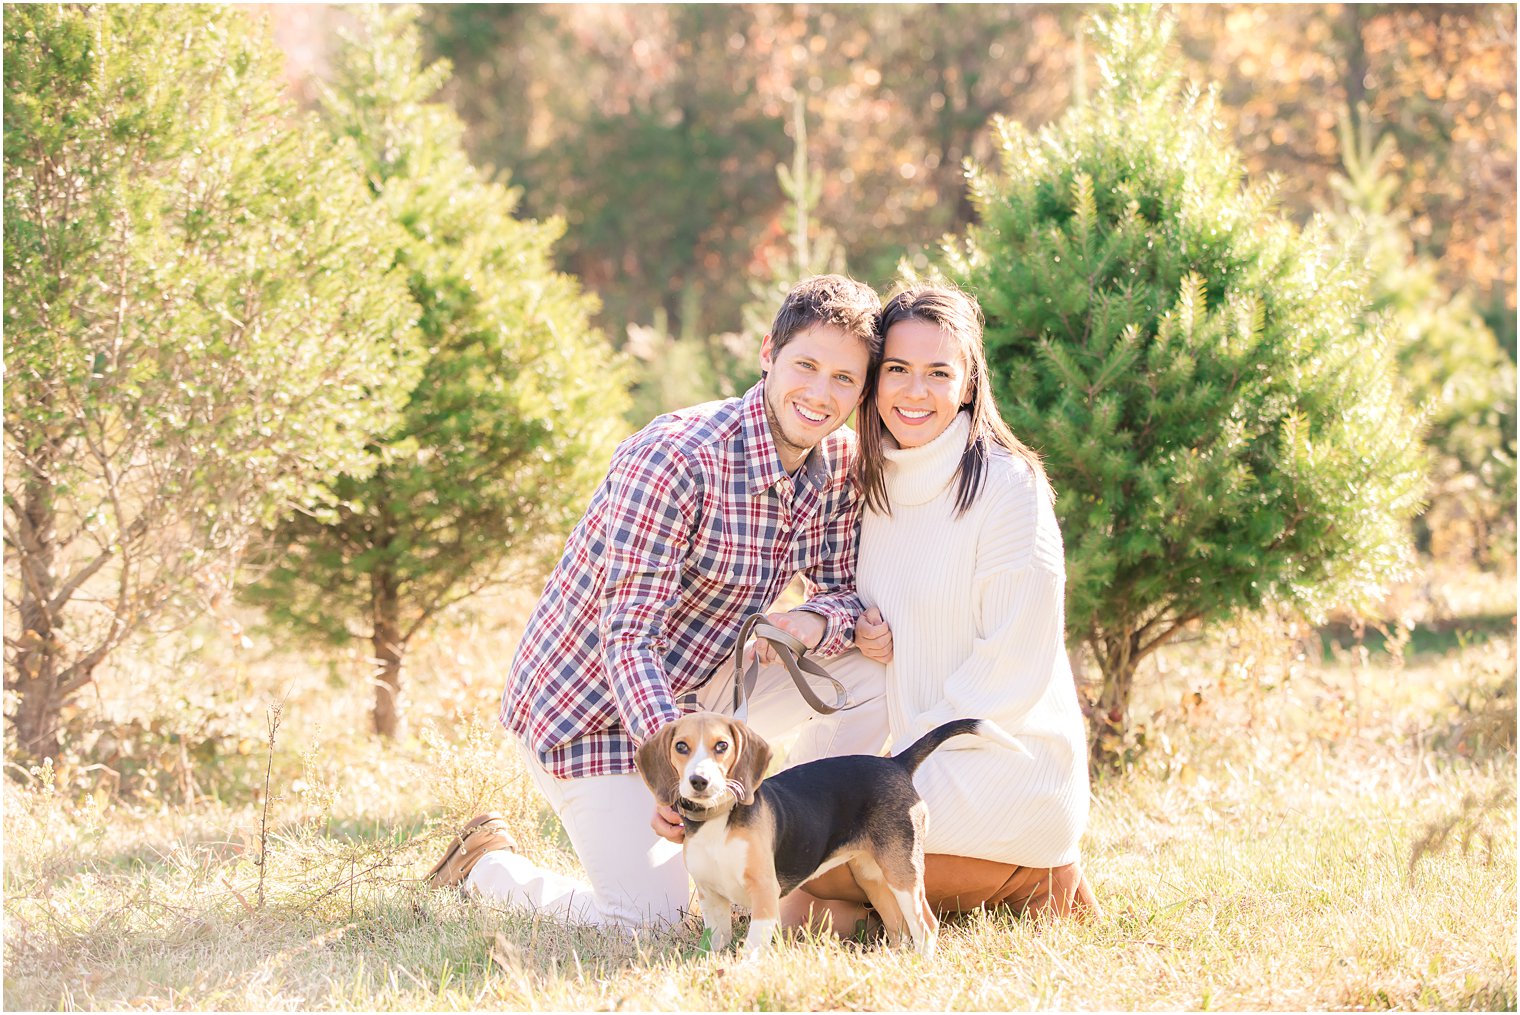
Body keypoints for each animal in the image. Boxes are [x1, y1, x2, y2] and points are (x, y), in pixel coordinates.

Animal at [632, 711, 1021, 954]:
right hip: (872, 877)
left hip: (903, 871)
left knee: (925, 925)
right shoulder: (712, 900)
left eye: (721, 746)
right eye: (681, 747)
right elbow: (717, 946)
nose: (699, 781)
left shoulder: (764, 894)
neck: (718, 819)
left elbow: (753, 949)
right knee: (898, 927)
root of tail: (896, 762)